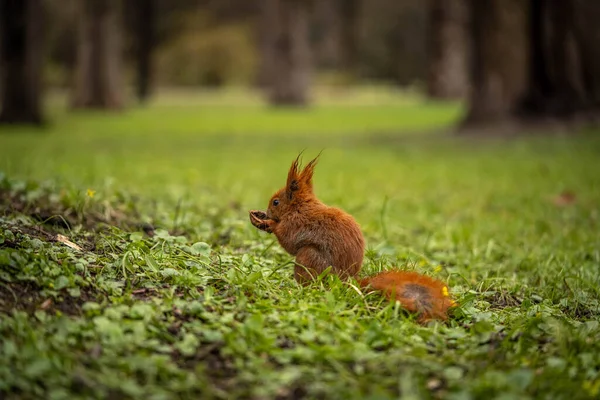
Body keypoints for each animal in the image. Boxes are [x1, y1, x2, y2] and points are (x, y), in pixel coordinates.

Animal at [250, 154, 454, 322]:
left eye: (276, 202)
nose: (267, 212)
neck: (299, 207)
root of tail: (346, 281)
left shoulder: (295, 224)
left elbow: (289, 242)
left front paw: (266, 223)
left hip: (308, 258)